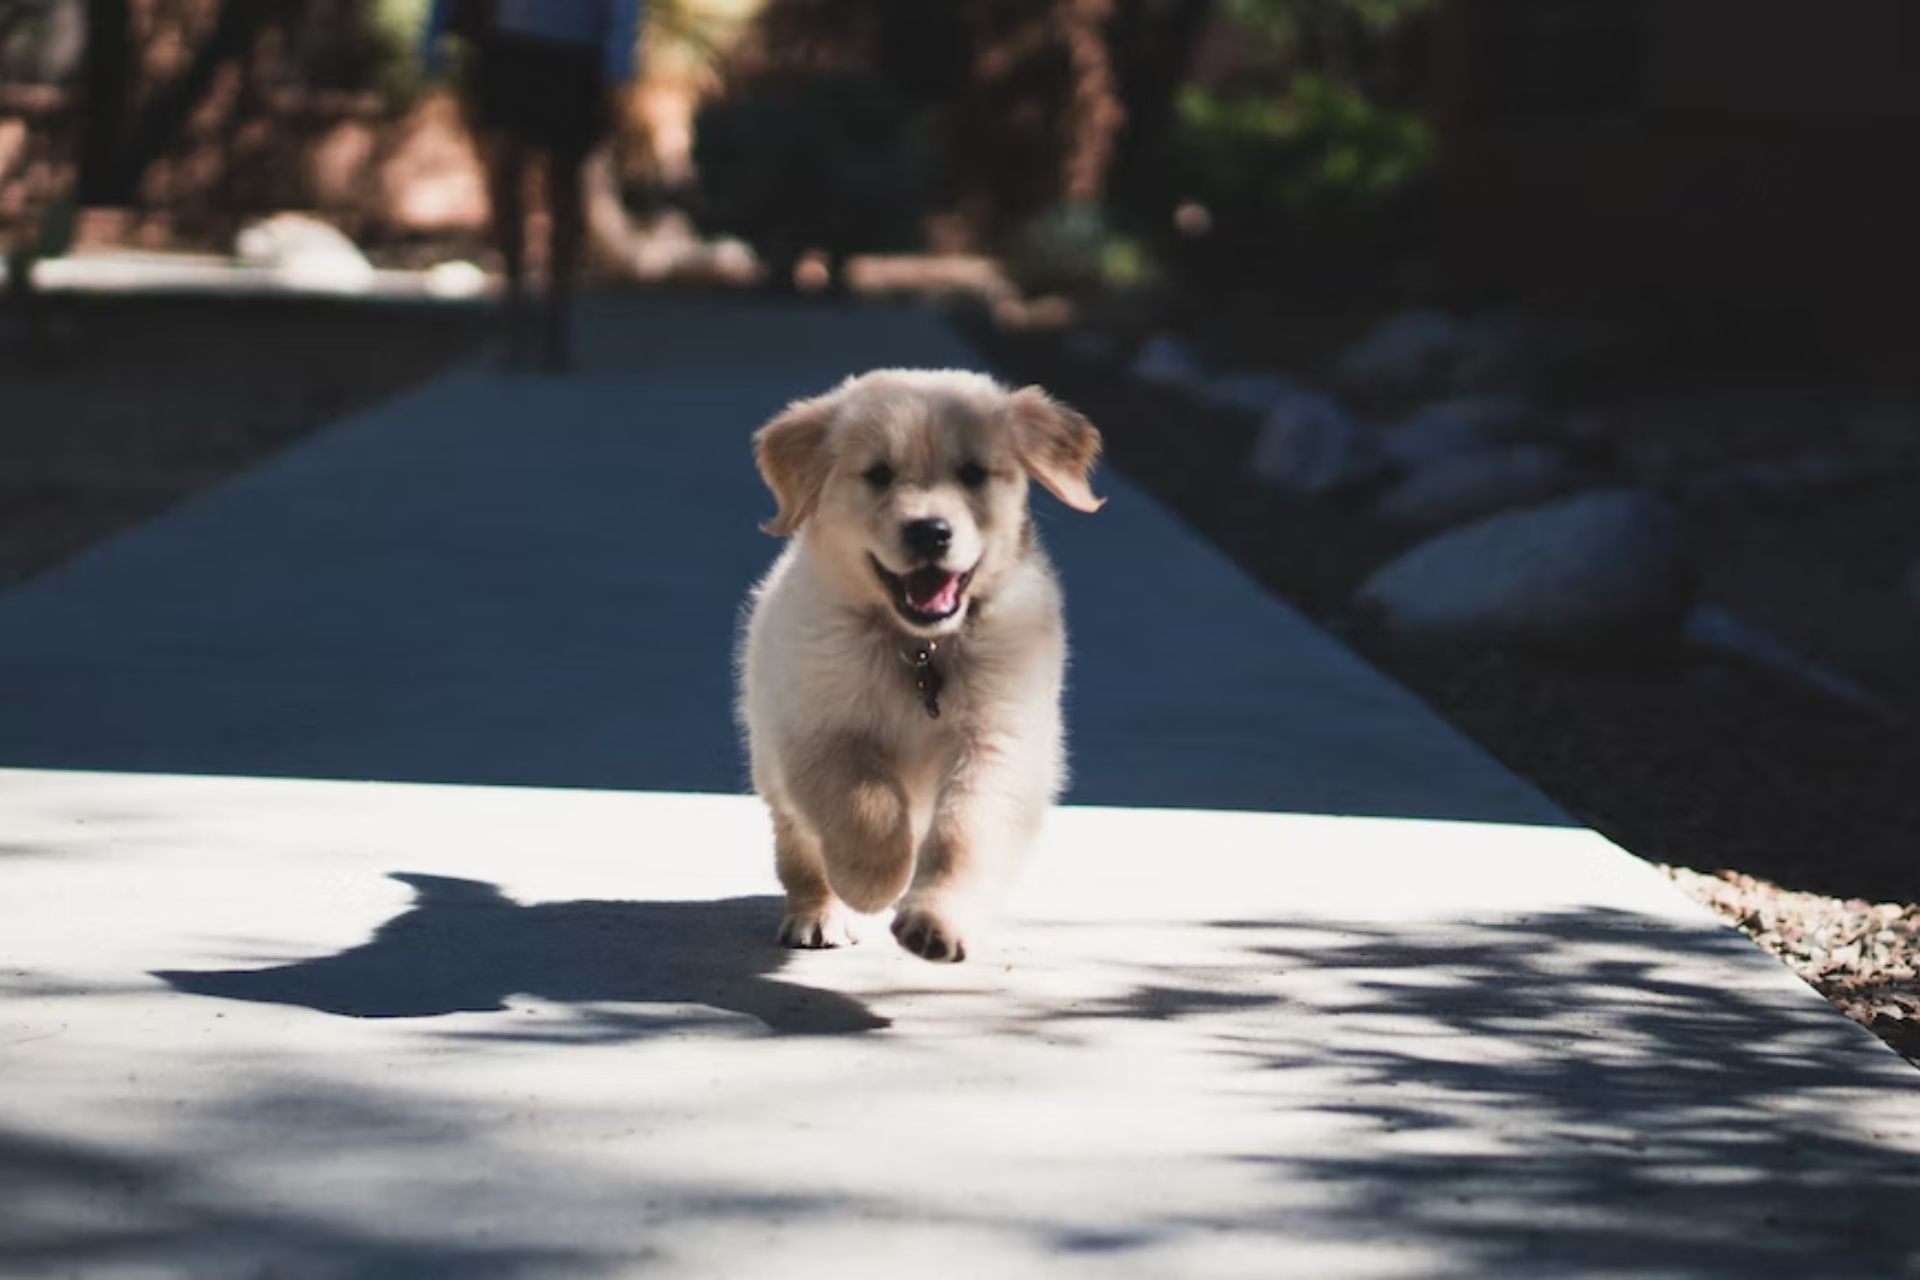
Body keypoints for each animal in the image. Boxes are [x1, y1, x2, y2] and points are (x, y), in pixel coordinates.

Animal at [733, 368, 1098, 959]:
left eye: (973, 473)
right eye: (879, 475)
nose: (930, 531)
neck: (921, 648)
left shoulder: (999, 740)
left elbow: (963, 834)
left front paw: (937, 920)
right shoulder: (817, 729)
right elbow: (865, 804)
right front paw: (873, 881)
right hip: (770, 761)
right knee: (800, 848)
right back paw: (819, 912)